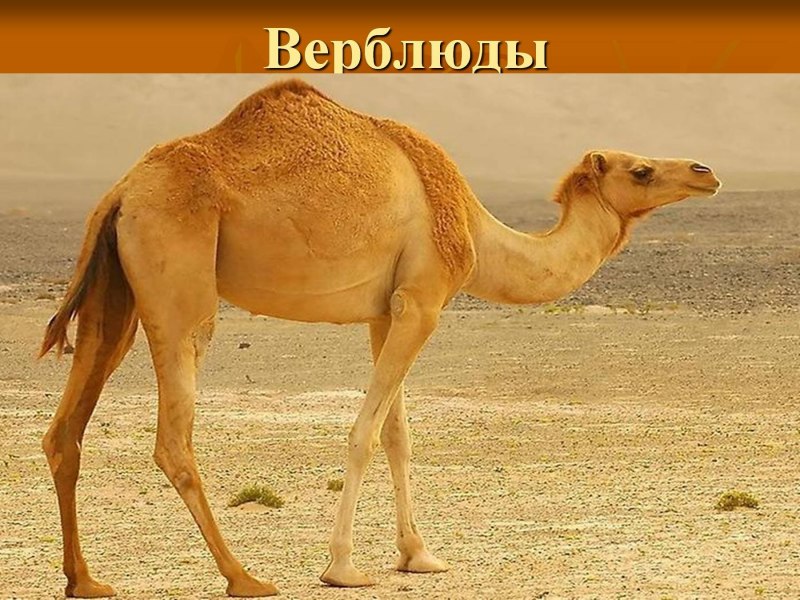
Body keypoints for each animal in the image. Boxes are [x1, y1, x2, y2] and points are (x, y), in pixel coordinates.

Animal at [39, 78, 721, 598]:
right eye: (641, 169)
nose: (706, 171)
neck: (473, 229)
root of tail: (121, 191)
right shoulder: (422, 301)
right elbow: (364, 433)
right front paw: (342, 567)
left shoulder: (384, 312)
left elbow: (399, 435)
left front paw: (418, 555)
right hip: (179, 282)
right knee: (174, 436)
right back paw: (245, 578)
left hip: (115, 297)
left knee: (65, 429)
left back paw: (85, 582)